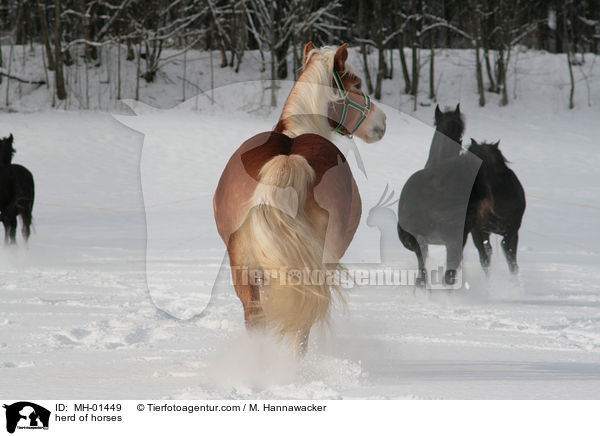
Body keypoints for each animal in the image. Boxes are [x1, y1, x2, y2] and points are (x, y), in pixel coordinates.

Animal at [213, 42, 386, 354]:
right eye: (357, 84)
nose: (382, 122)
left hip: (245, 269)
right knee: (301, 326)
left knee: (256, 320)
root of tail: (288, 159)